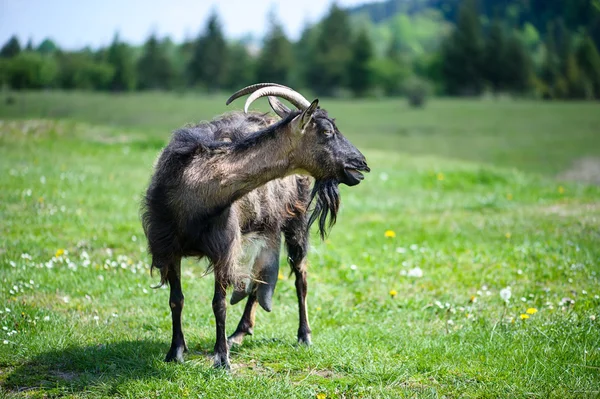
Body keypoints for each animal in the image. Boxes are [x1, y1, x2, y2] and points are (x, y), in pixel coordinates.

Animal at [143, 83, 370, 368]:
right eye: (327, 131)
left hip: (295, 222)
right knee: (261, 276)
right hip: (266, 227)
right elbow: (176, 300)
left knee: (301, 276)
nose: (361, 164)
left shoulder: (224, 249)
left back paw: (303, 335)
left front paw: (221, 359)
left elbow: (218, 303)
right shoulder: (167, 247)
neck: (195, 189)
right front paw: (175, 352)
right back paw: (240, 332)